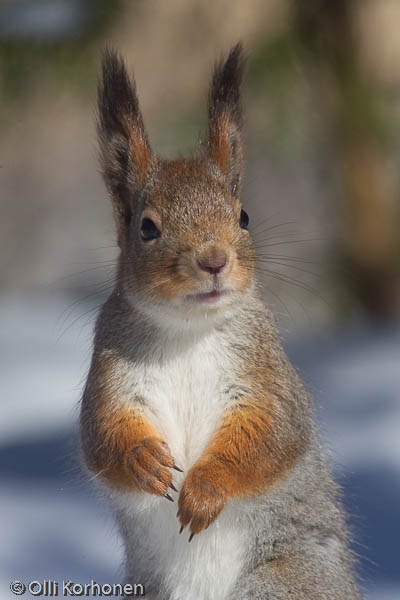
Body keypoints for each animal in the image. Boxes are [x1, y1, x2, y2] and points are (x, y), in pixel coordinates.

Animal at [79, 44, 360, 596]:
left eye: (243, 216)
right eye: (147, 228)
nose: (214, 260)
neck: (189, 329)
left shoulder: (264, 372)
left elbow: (269, 433)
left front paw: (206, 488)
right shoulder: (112, 374)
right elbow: (101, 434)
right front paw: (142, 461)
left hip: (282, 581)